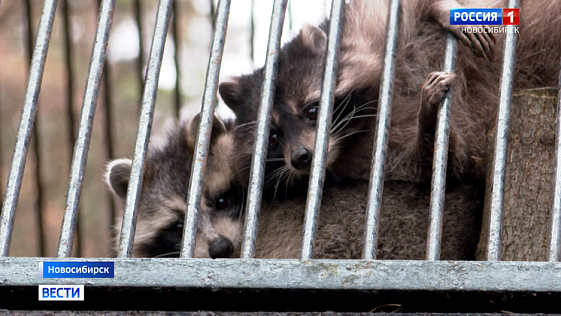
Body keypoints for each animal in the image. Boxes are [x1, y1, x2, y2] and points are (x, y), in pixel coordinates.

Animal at [219, 0, 560, 190]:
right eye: (273, 137)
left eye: (312, 111)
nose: (302, 158)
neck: (357, 130)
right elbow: (437, 163)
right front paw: (428, 121)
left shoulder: (369, 25)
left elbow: (406, 5)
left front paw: (443, 8)